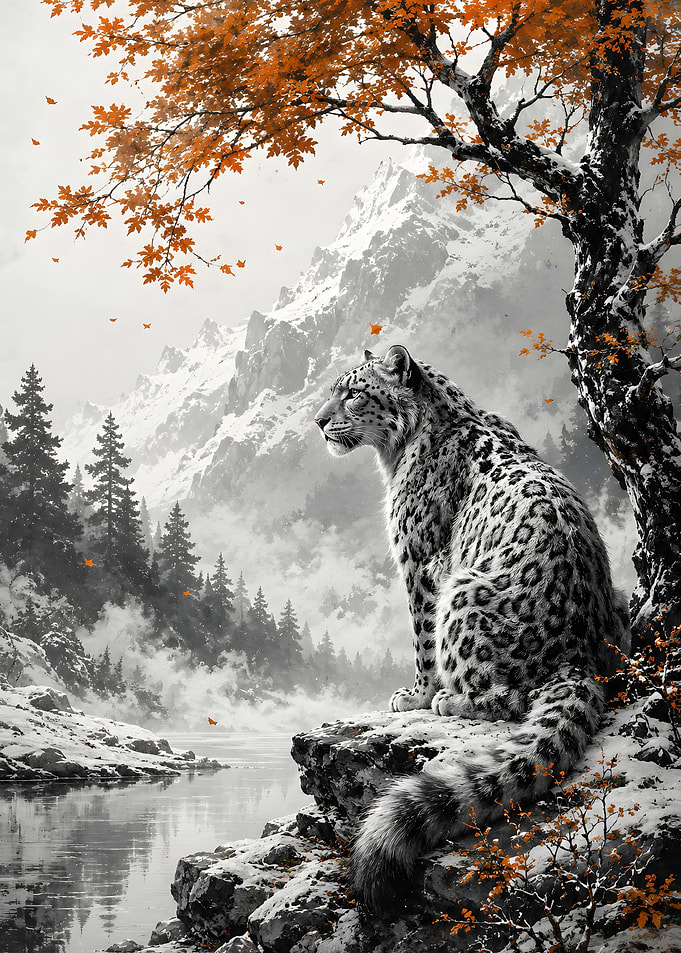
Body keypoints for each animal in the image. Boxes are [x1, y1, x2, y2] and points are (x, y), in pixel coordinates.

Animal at [314, 344, 630, 912]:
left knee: (508, 697)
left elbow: (420, 638)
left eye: (352, 392)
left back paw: (449, 700)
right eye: (333, 389)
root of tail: (578, 653)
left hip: (462, 593)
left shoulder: (419, 564)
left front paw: (416, 695)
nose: (319, 421)